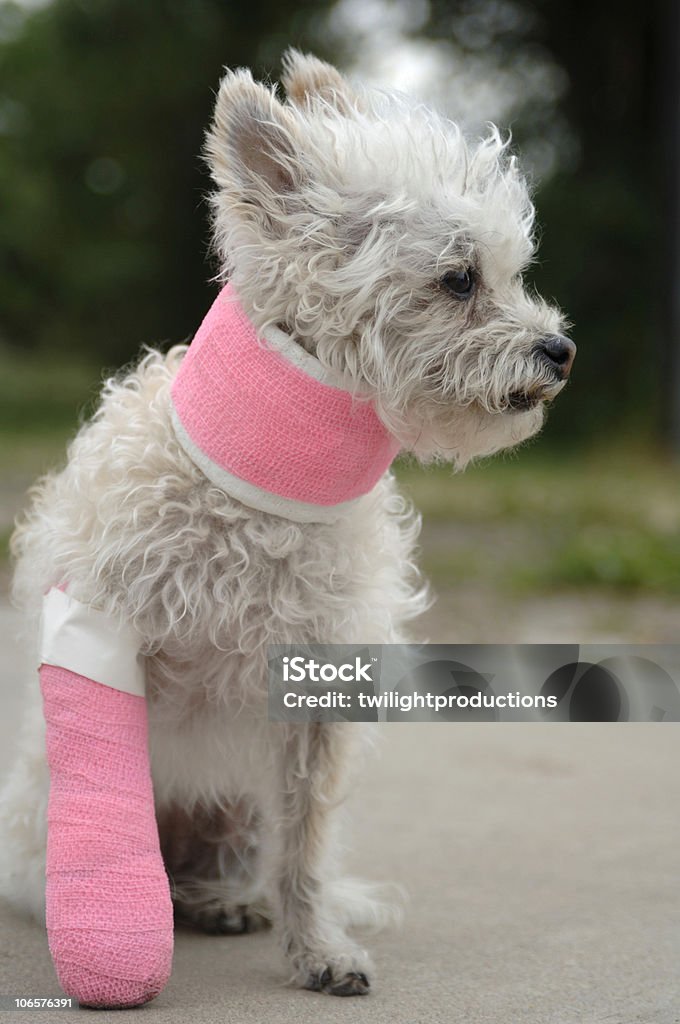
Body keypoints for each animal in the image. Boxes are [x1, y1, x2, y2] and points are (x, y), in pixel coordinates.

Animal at [0, 49, 573, 999]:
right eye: (459, 279)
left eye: (513, 270)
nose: (560, 350)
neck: (265, 500)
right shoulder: (101, 637)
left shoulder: (316, 693)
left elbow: (305, 846)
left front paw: (318, 949)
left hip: (236, 811)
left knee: (253, 858)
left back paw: (228, 898)